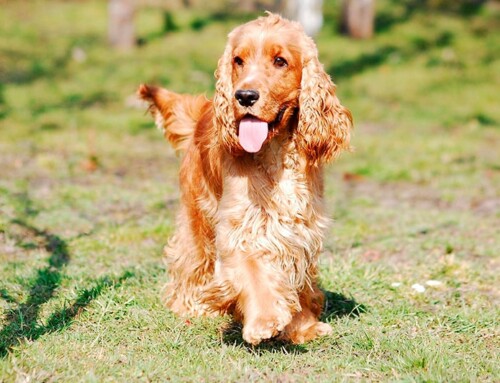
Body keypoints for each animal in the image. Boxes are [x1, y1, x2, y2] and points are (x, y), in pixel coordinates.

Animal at [139, 13, 354, 346]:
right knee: (190, 257)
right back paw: (191, 305)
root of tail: (204, 110)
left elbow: (295, 276)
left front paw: (303, 326)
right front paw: (264, 320)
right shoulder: (241, 226)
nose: (244, 96)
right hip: (198, 211)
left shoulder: (300, 228)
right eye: (238, 60)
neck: (275, 152)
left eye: (280, 61)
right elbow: (253, 269)